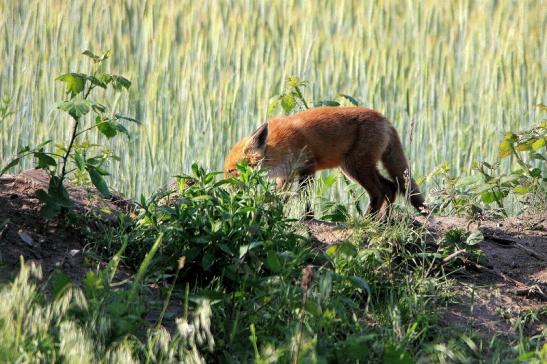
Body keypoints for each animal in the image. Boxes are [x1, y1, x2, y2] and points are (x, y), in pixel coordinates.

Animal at [224, 106, 428, 218]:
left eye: (231, 172)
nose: (225, 190)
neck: (278, 146)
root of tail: (385, 119)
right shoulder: (286, 175)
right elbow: (280, 198)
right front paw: (271, 211)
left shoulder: (308, 166)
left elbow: (305, 196)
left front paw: (307, 218)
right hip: (355, 168)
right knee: (391, 187)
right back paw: (383, 221)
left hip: (355, 167)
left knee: (380, 191)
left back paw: (367, 220)